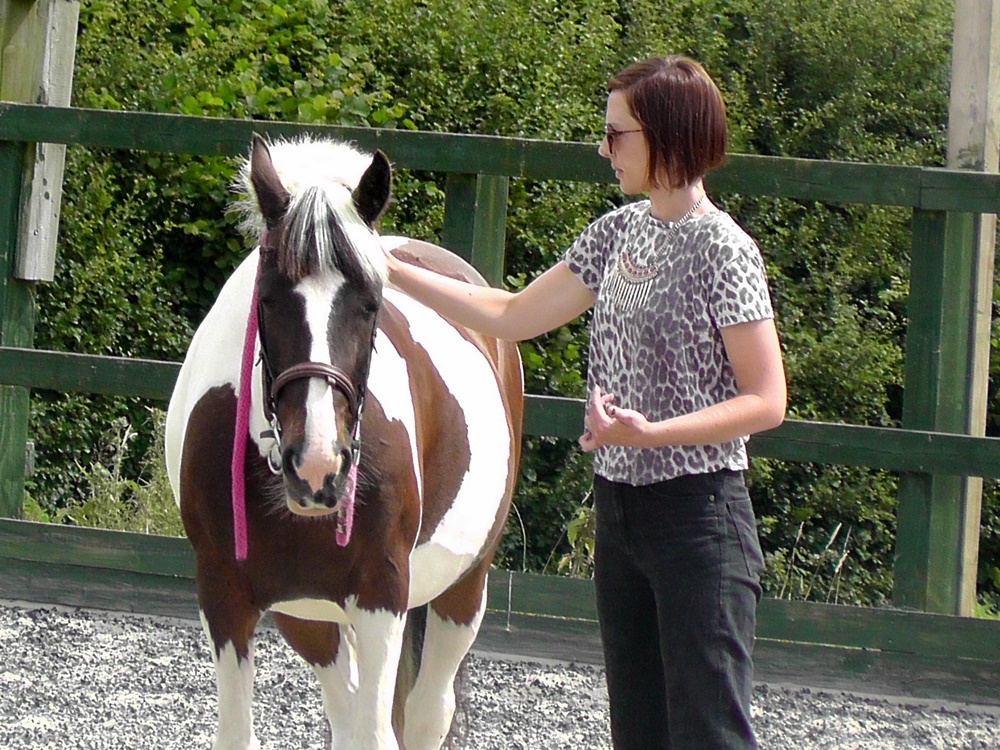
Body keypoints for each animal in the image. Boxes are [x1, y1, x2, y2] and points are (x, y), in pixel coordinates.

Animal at [164, 133, 523, 750]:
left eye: (371, 304)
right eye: (268, 298)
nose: (317, 467)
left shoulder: (381, 594)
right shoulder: (226, 595)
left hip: (462, 591)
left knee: (425, 713)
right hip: (310, 616)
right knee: (348, 707)